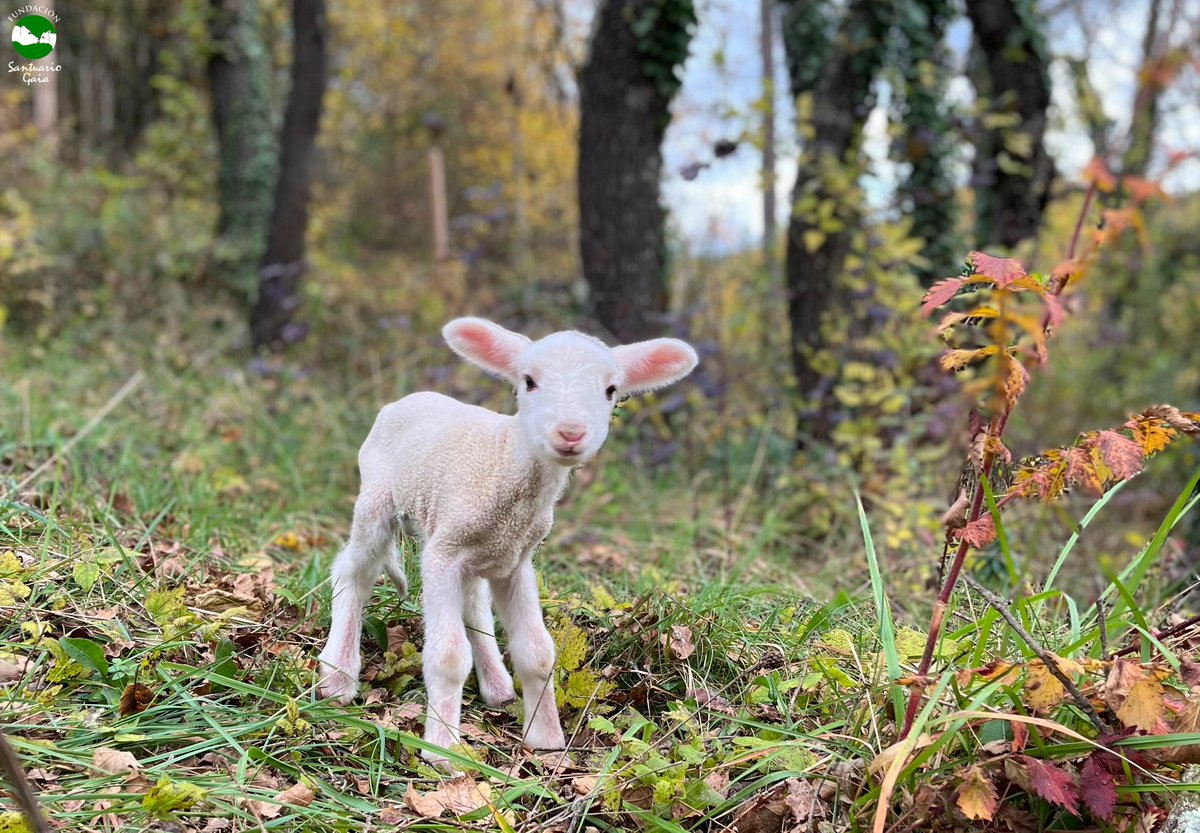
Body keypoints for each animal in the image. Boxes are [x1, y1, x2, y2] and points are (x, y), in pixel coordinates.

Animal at [317, 317, 698, 763]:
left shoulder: (516, 559)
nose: (571, 433)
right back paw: (338, 677)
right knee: (354, 572)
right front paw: (441, 748)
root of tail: (406, 400)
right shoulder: (442, 553)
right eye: (529, 381)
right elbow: (448, 655)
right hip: (377, 498)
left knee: (474, 602)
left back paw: (497, 686)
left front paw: (545, 739)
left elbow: (538, 653)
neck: (504, 459)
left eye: (610, 390)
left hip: (476, 551)